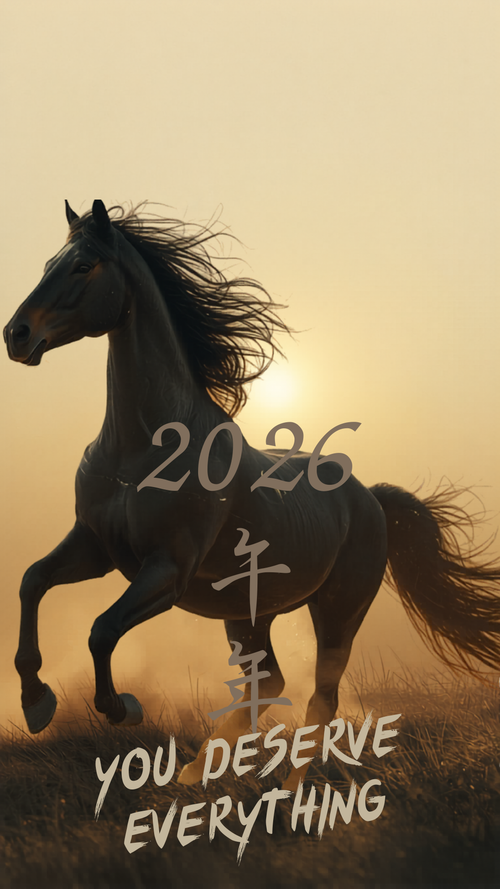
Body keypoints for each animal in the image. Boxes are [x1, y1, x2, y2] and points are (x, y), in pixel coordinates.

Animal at [5, 200, 500, 790]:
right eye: (48, 264)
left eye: (83, 266)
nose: (16, 334)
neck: (141, 448)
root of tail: (371, 498)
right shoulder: (95, 549)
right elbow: (33, 581)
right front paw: (36, 703)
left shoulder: (167, 570)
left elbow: (102, 630)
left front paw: (122, 708)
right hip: (247, 615)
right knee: (270, 682)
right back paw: (197, 770)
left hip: (338, 611)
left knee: (320, 698)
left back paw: (284, 791)